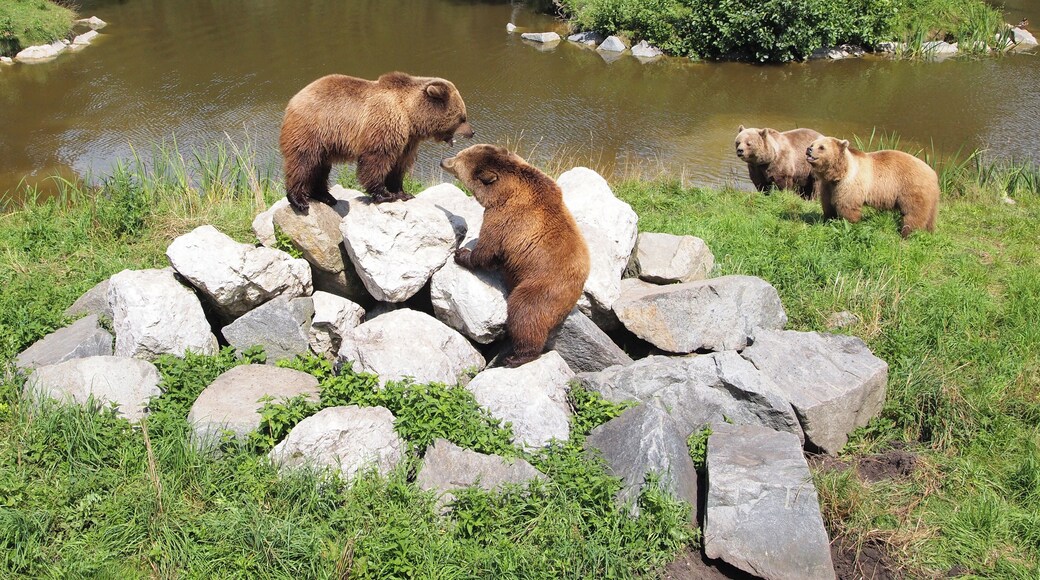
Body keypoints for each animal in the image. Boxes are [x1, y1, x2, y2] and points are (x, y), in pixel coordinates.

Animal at [279, 72, 475, 212]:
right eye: (462, 118)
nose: (472, 132)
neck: (410, 116)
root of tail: (294, 99)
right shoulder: (384, 125)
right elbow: (377, 160)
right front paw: (384, 194)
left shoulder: (407, 140)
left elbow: (398, 165)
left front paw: (403, 193)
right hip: (313, 129)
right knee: (303, 162)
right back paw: (299, 200)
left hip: (325, 143)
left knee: (320, 167)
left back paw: (326, 196)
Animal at [440, 144, 591, 368]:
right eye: (460, 153)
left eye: (457, 160)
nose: (443, 160)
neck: (505, 190)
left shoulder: (503, 218)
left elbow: (487, 251)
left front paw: (462, 254)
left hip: (542, 286)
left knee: (524, 313)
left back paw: (516, 356)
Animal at [806, 136, 940, 237]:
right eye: (812, 144)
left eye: (821, 147)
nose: (808, 149)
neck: (838, 173)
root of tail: (933, 174)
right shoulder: (828, 186)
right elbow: (828, 203)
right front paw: (828, 219)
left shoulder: (850, 184)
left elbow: (847, 205)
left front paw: (850, 223)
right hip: (930, 197)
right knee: (929, 215)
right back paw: (929, 231)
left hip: (911, 188)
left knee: (913, 214)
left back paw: (907, 233)